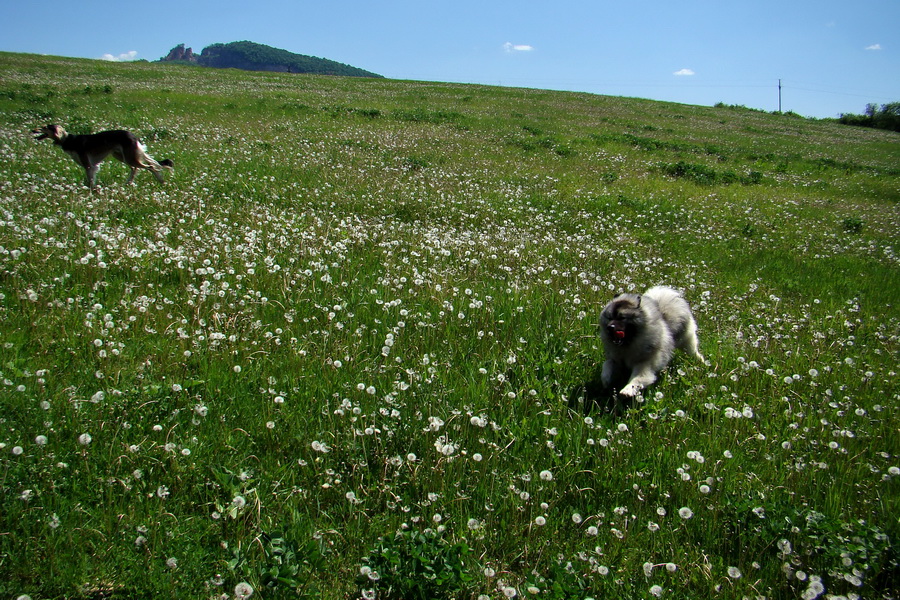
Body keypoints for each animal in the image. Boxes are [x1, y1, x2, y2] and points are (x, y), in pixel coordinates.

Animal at [32, 125, 173, 191]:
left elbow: (90, 181)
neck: (67, 140)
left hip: (128, 157)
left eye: (44, 127)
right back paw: (127, 183)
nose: (33, 130)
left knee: (150, 166)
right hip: (121, 156)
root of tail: (134, 136)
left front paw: (91, 191)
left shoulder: (89, 165)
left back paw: (160, 180)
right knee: (135, 169)